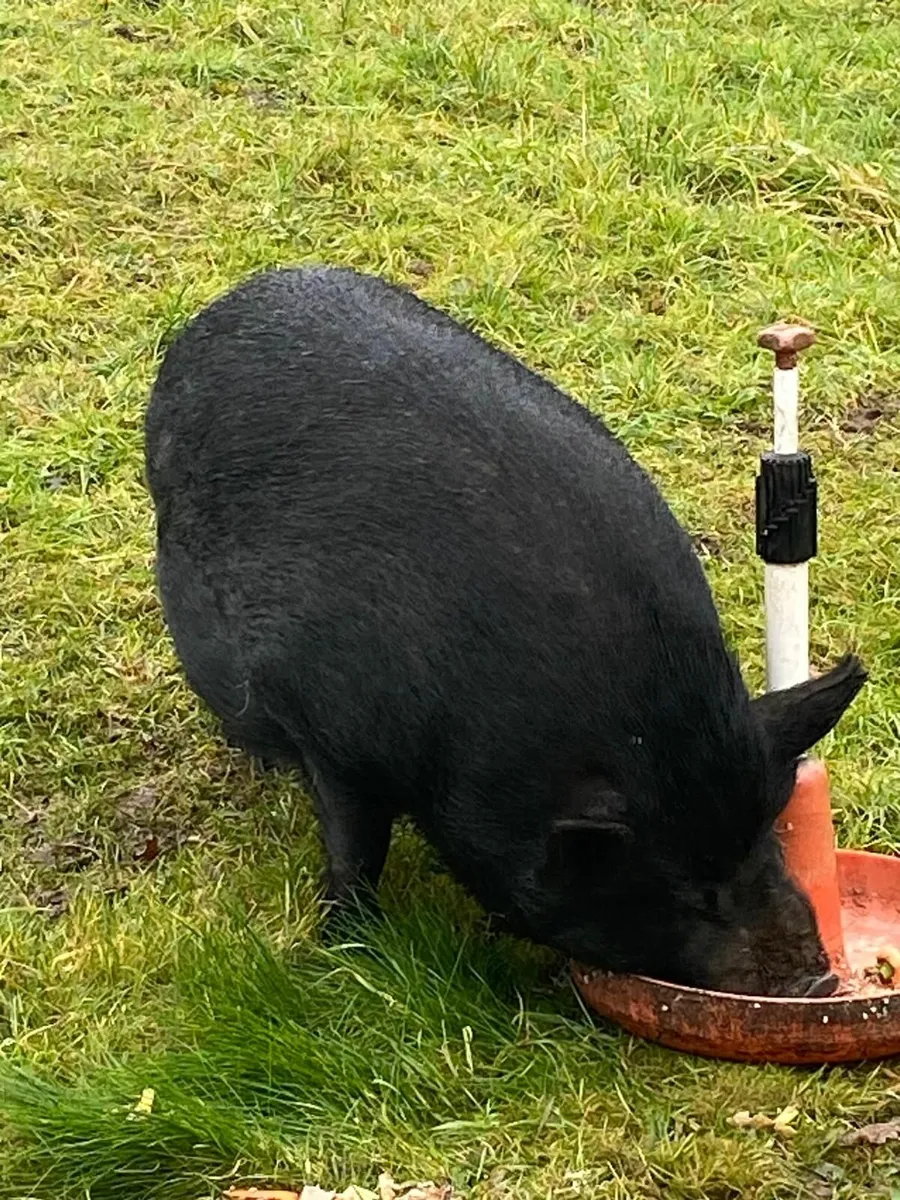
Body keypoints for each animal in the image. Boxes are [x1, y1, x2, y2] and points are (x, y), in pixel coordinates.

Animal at [144, 266, 866, 997]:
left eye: (769, 832)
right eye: (692, 892)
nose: (818, 980)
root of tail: (224, 308)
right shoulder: (336, 736)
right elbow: (355, 847)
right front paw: (341, 947)